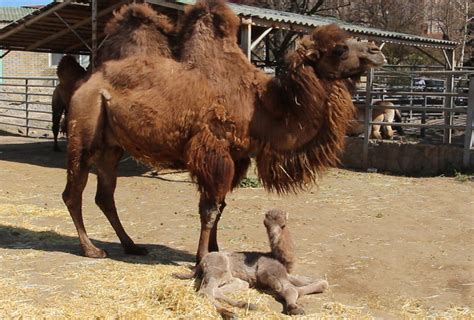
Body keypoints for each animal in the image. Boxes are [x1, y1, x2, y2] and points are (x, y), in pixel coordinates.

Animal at [63, 0, 386, 260]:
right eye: (340, 49)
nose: (376, 52)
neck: (260, 106)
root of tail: (86, 82)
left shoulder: (237, 157)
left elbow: (221, 207)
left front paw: (216, 251)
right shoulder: (213, 151)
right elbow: (209, 209)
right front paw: (201, 259)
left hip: (112, 147)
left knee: (105, 195)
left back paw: (131, 246)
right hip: (84, 131)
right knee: (73, 192)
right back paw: (91, 249)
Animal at [176, 210, 328, 318]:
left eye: (283, 225)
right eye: (266, 224)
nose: (274, 237)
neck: (278, 258)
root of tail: (201, 262)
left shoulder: (285, 273)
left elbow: (322, 283)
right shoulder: (271, 271)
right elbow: (289, 289)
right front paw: (295, 308)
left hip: (231, 278)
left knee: (221, 289)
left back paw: (246, 306)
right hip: (218, 269)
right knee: (205, 291)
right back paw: (229, 314)